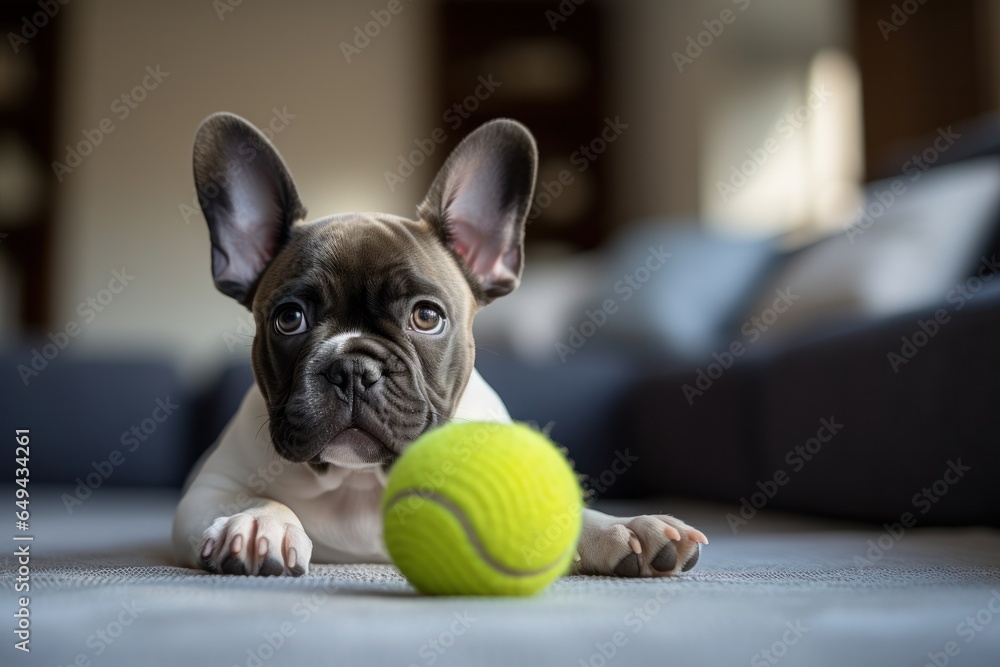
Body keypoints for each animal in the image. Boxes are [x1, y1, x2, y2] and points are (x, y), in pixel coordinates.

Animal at [170, 115, 704, 580]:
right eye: (289, 319)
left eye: (426, 317)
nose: (353, 368)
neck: (360, 481)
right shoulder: (208, 491)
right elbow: (253, 498)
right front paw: (259, 522)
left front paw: (624, 527)